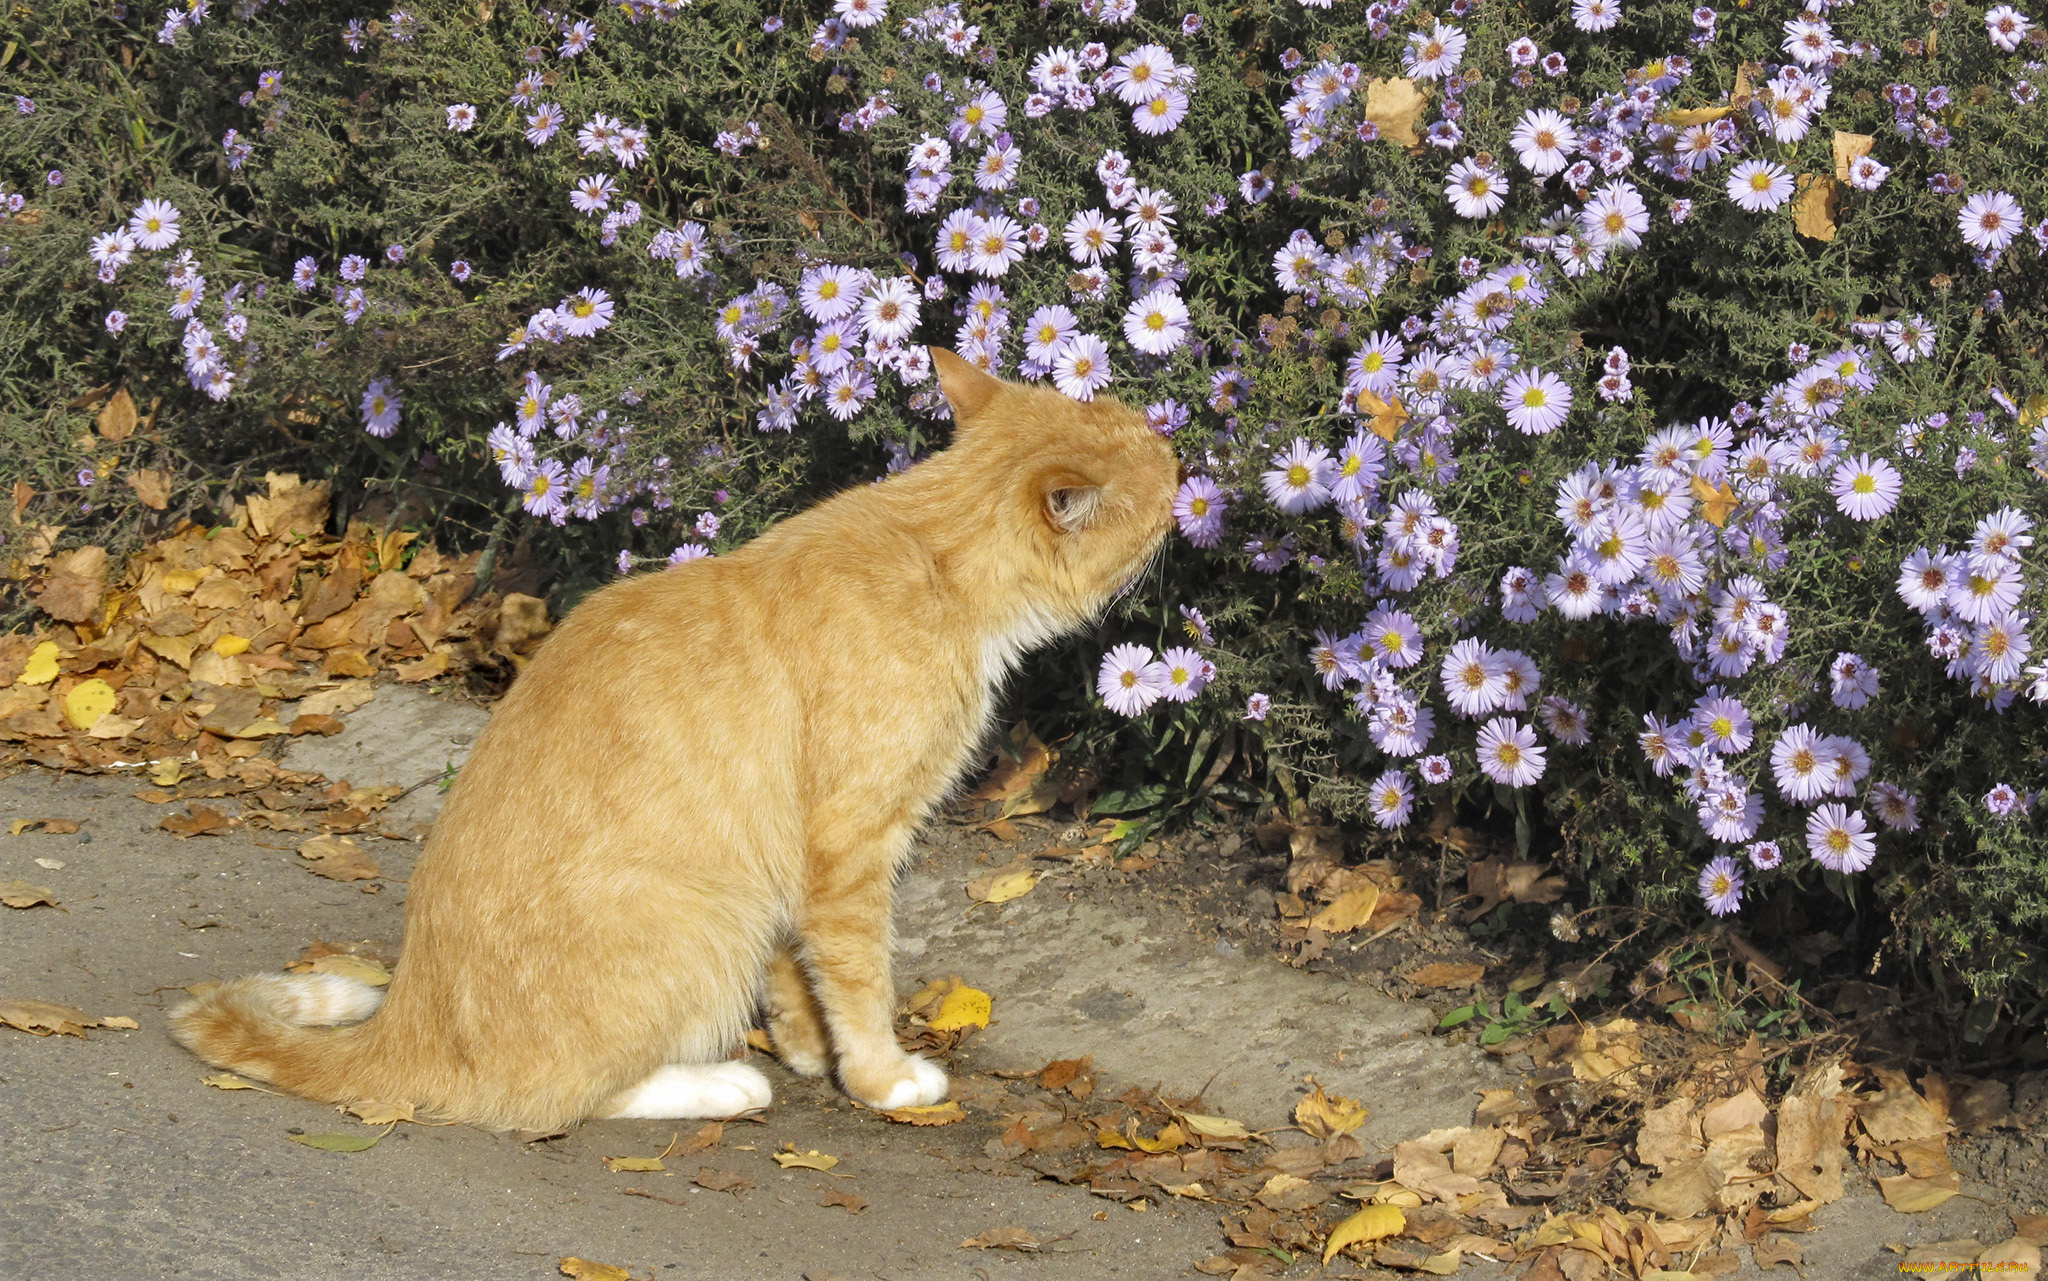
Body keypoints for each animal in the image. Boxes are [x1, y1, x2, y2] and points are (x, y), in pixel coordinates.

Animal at [174, 350, 1179, 1131]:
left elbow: (798, 963)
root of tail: (407, 1023)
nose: (1180, 440)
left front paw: (808, 1048)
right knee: (554, 1098)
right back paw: (722, 1083)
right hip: (701, 918)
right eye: (1159, 464)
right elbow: (859, 972)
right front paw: (880, 1075)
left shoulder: (786, 850)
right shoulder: (852, 842)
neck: (928, 550)